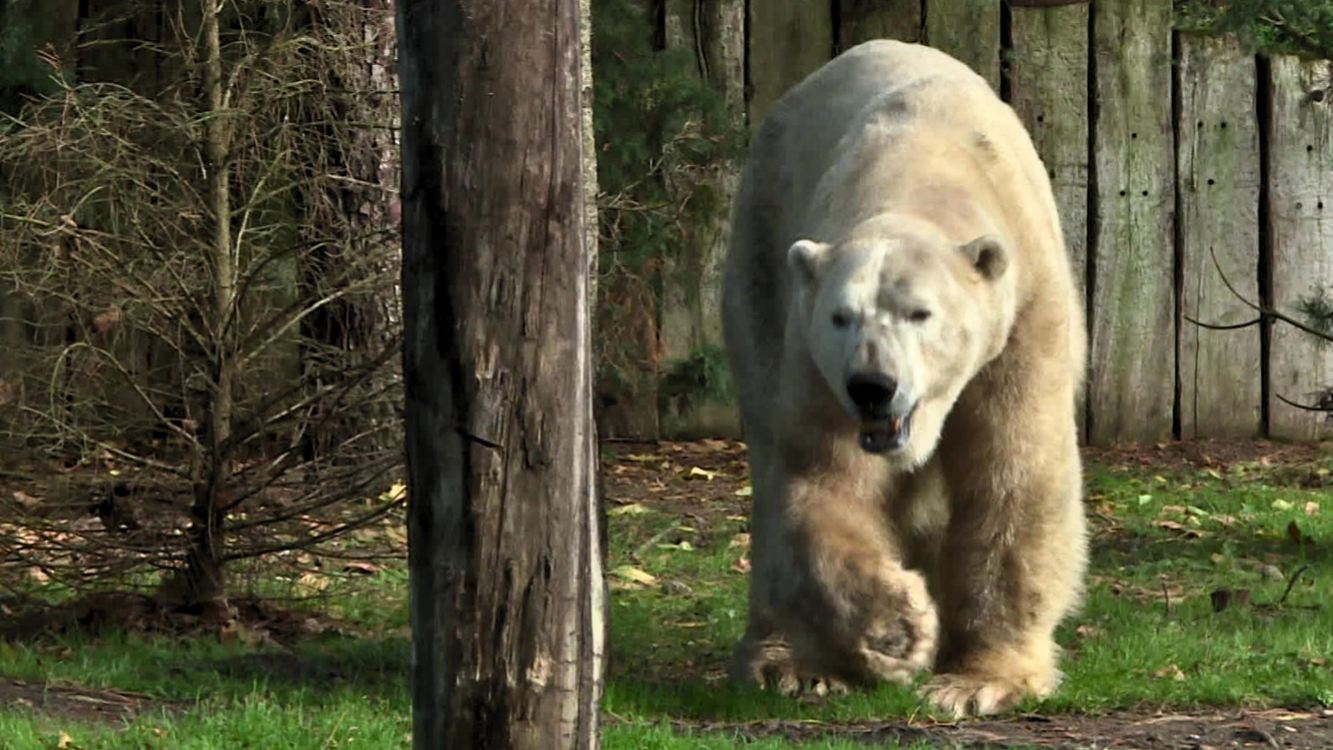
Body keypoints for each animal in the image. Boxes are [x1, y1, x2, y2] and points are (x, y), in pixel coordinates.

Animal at [725, 39, 1087, 714]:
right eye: (841, 316)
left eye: (921, 312)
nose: (874, 386)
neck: (924, 165)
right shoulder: (814, 357)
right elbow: (826, 479)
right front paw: (897, 629)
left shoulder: (1024, 319)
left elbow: (1013, 474)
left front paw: (979, 681)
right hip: (759, 261)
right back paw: (785, 662)